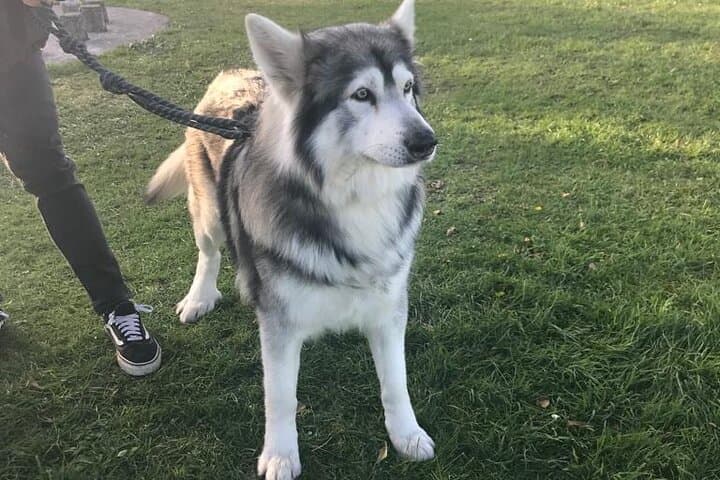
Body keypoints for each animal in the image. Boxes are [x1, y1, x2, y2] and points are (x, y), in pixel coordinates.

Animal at [146, 1, 437, 477]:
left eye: (408, 87)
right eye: (362, 95)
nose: (426, 141)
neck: (353, 200)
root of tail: (230, 74)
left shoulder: (389, 306)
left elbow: (396, 380)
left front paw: (406, 434)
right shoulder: (279, 324)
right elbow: (280, 396)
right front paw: (280, 454)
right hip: (208, 214)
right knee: (209, 253)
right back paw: (200, 297)